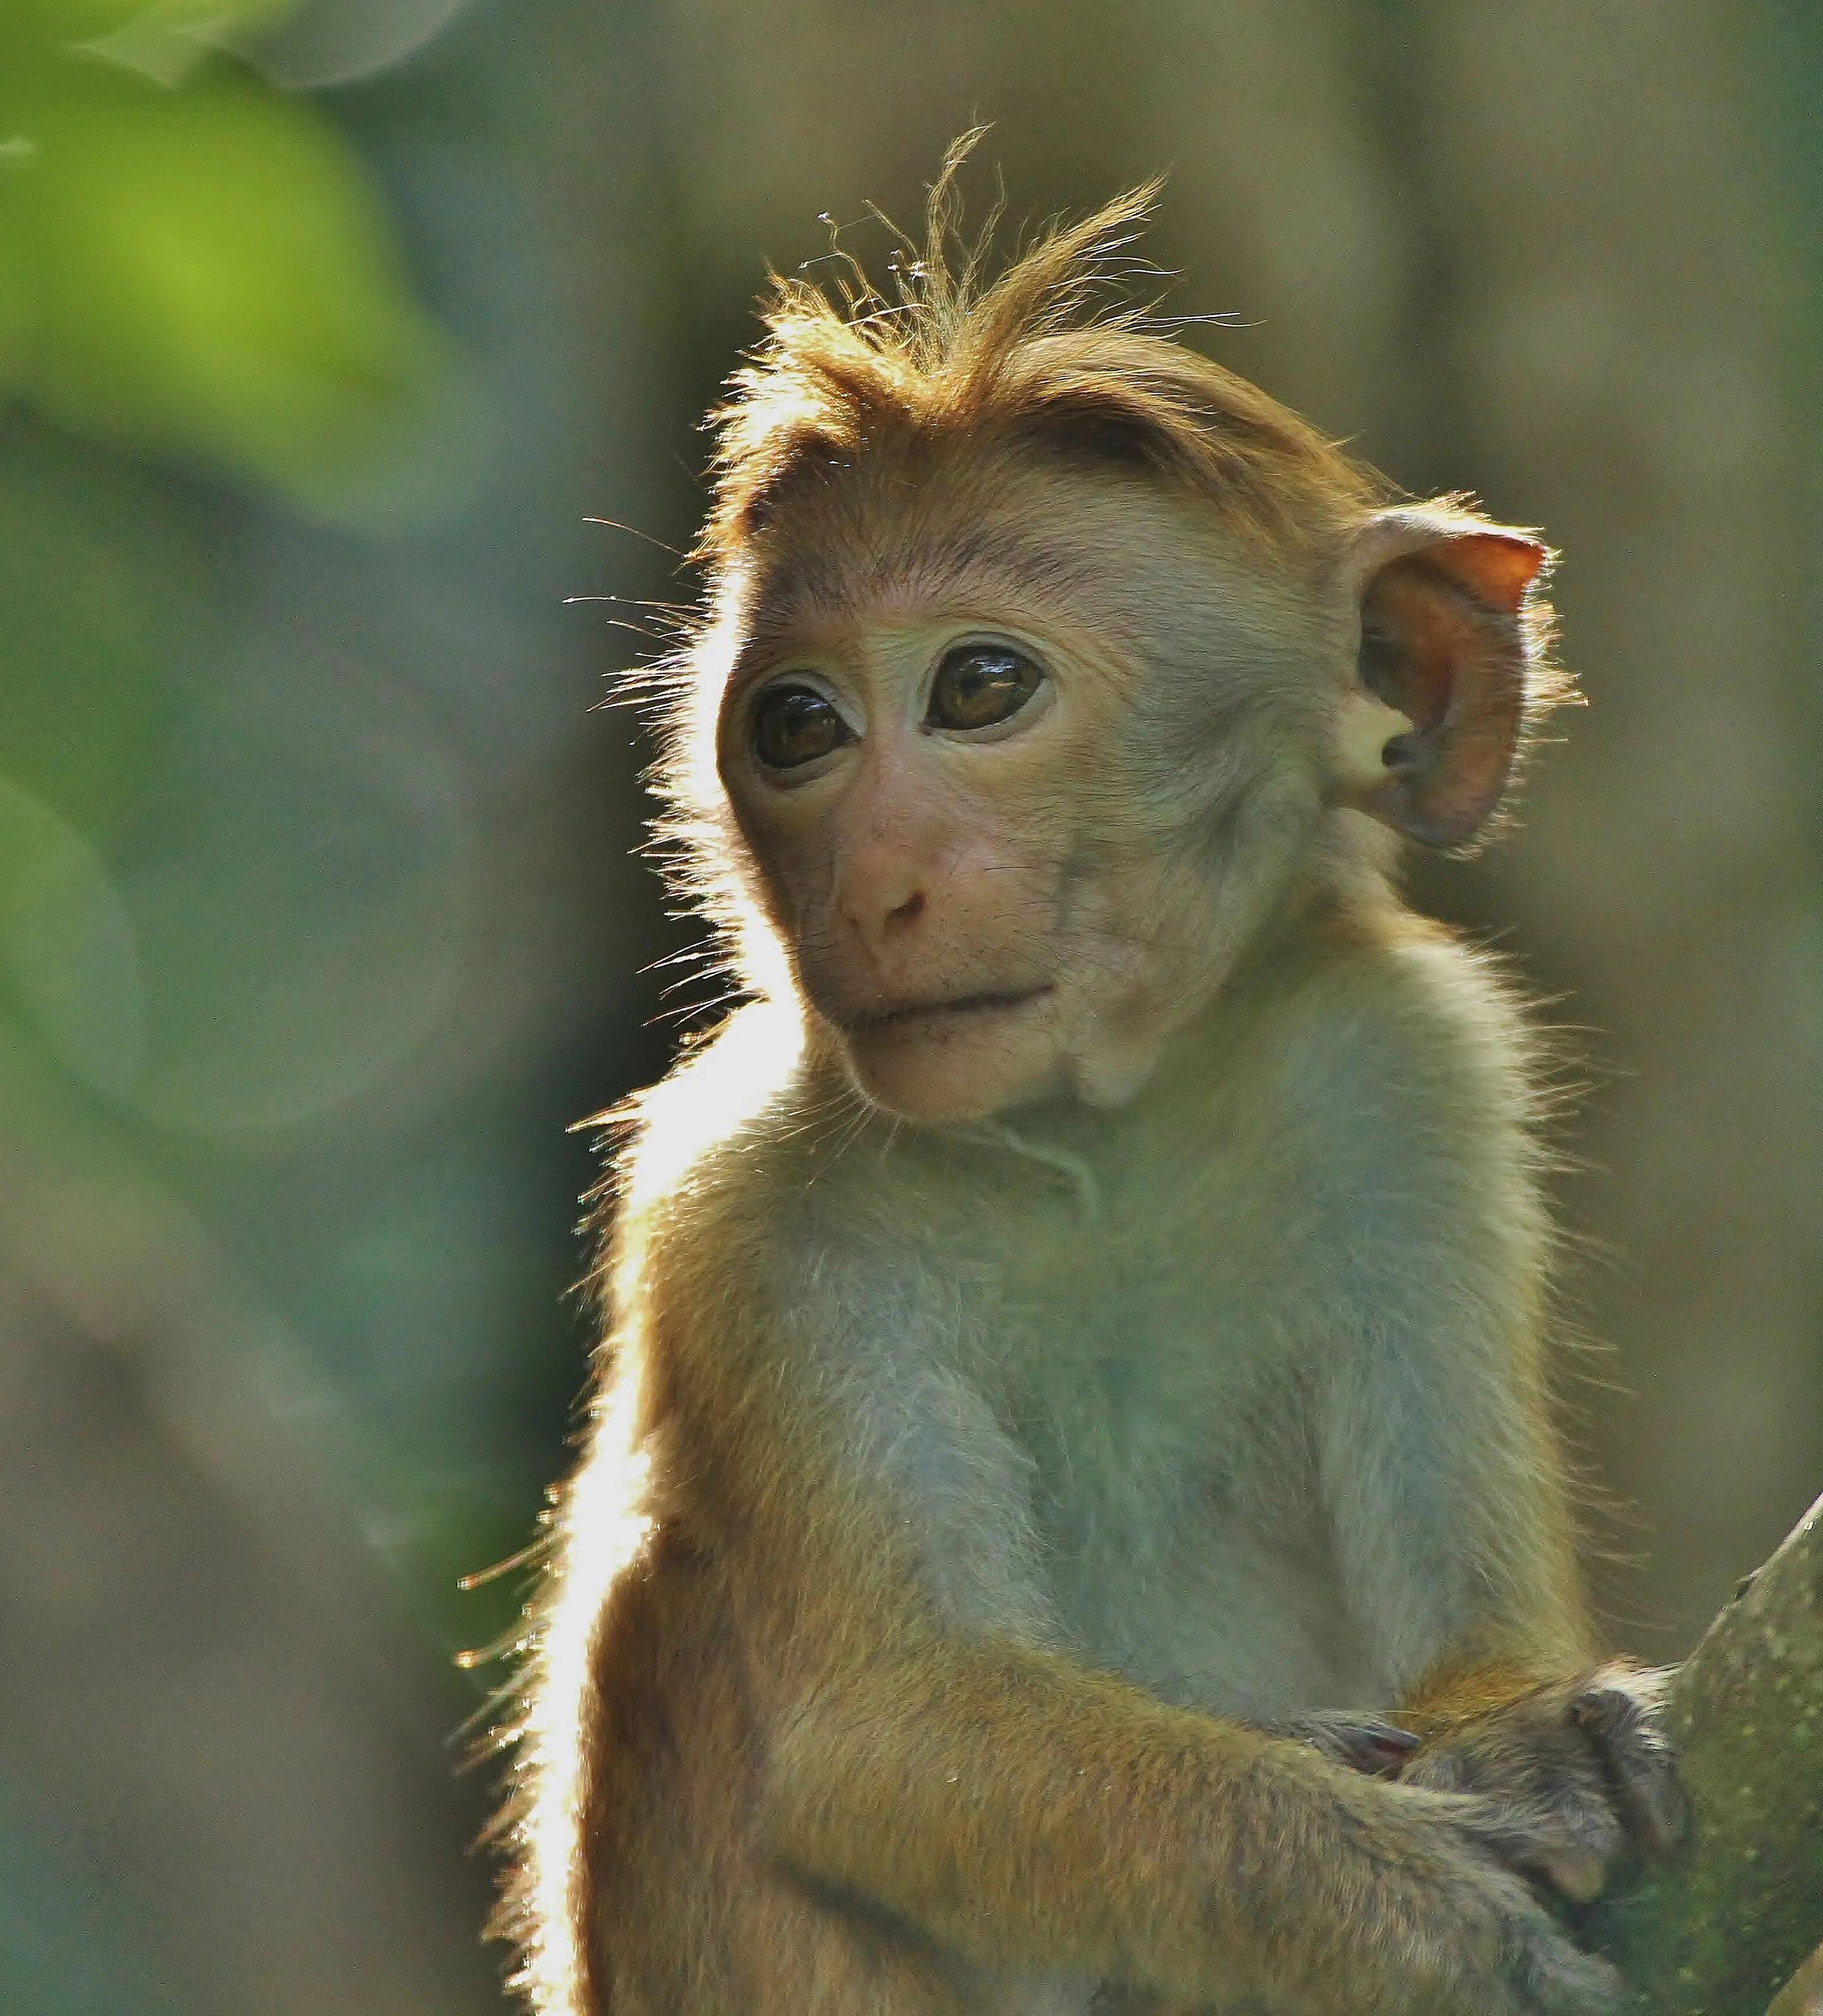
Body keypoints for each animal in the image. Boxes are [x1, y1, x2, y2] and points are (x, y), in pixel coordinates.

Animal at [489, 154, 1684, 2016]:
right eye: (796, 725)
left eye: (980, 688)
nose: (871, 886)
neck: (1098, 1135)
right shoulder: (737, 1202)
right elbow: (884, 1731)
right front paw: (1404, 1909)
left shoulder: (1405, 1066)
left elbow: (1462, 1617)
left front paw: (1523, 1731)